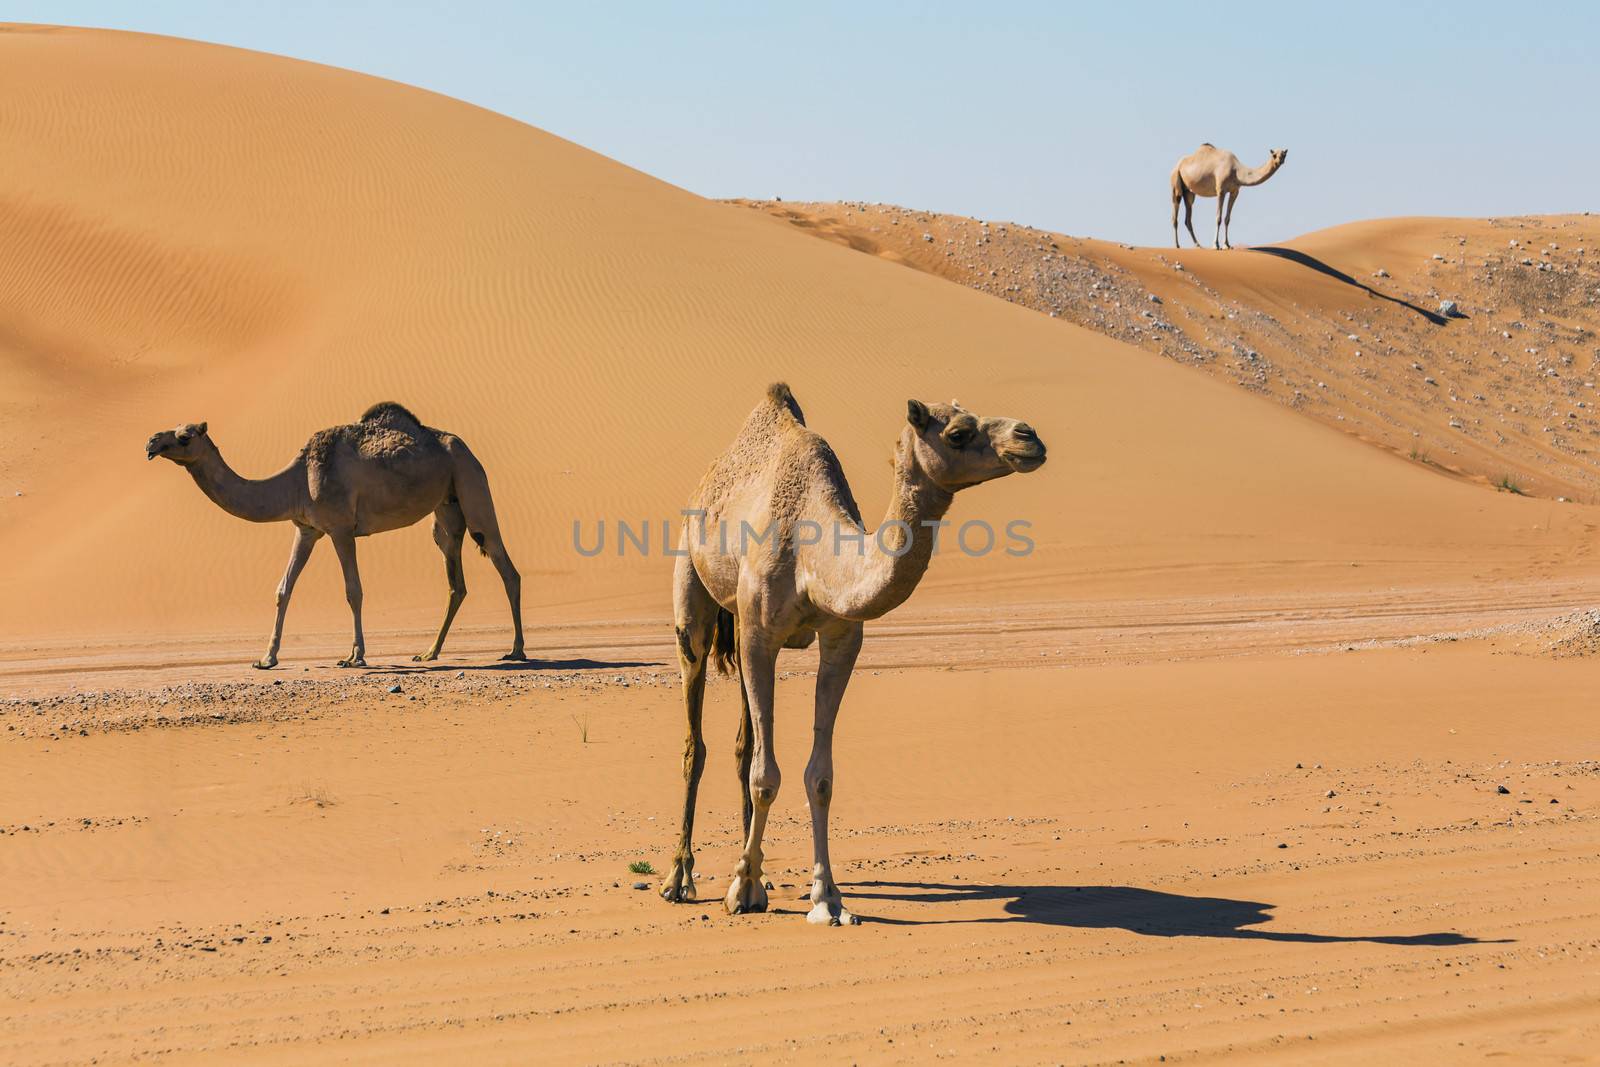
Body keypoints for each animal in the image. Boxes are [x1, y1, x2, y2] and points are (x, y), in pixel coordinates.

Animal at [145, 399, 524, 668]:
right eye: (175, 428)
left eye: (184, 437)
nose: (151, 441)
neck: (296, 480)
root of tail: (465, 447)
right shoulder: (307, 529)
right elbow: (283, 589)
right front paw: (266, 658)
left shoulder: (341, 528)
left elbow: (353, 591)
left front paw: (355, 656)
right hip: (445, 507)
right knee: (455, 579)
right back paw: (428, 653)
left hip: (471, 481)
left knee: (505, 565)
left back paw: (516, 650)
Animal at [656, 383, 1043, 927]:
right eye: (957, 432)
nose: (1029, 437)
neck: (813, 557)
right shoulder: (758, 635)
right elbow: (765, 776)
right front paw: (743, 891)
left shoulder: (842, 640)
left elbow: (818, 777)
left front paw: (826, 898)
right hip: (692, 591)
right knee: (696, 739)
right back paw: (680, 878)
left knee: (742, 743)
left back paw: (754, 867)